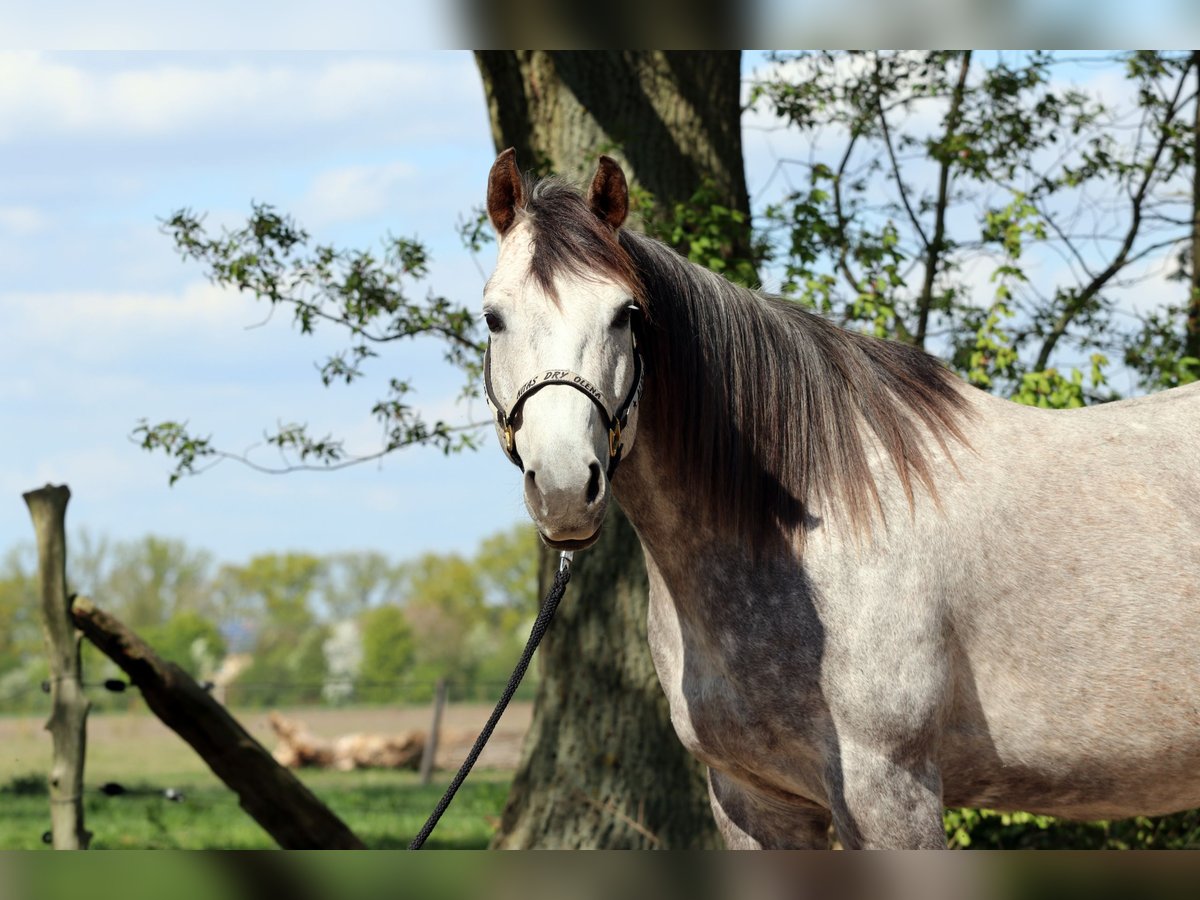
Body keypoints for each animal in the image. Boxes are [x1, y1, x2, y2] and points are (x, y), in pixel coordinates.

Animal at [477, 150, 1200, 854]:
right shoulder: (753, 800)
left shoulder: (890, 792)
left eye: (626, 314)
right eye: (493, 318)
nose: (565, 488)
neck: (803, 537)